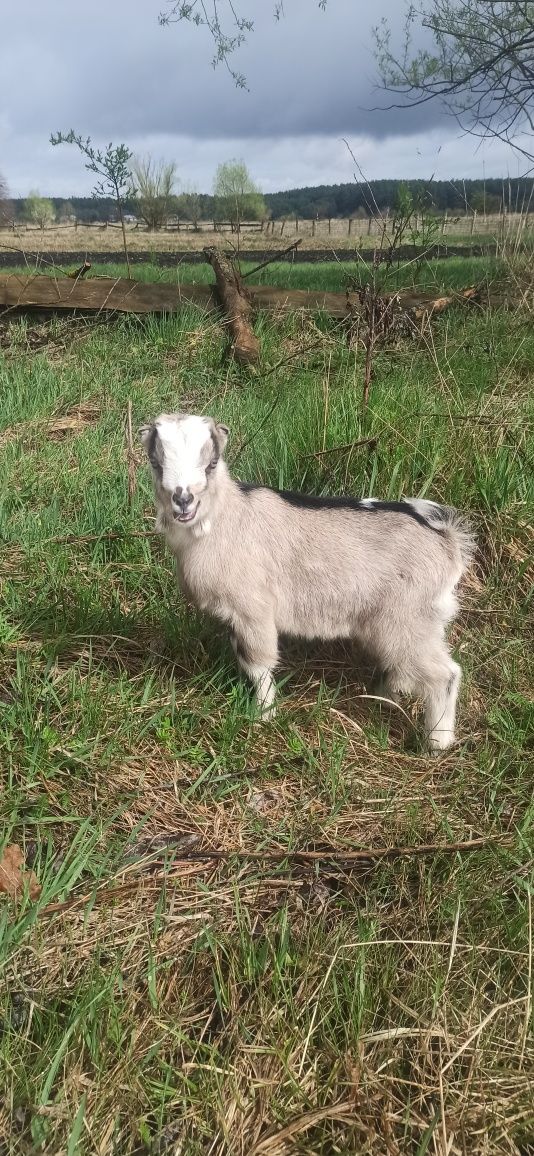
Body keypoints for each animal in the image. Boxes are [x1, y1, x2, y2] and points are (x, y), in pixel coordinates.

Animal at [139, 413, 473, 749]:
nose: (183, 499)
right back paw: (384, 700)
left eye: (211, 463)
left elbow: (258, 664)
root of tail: (448, 539)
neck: (224, 517)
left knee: (446, 674)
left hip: (408, 618)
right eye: (155, 462)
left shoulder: (252, 609)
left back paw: (436, 743)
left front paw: (262, 717)